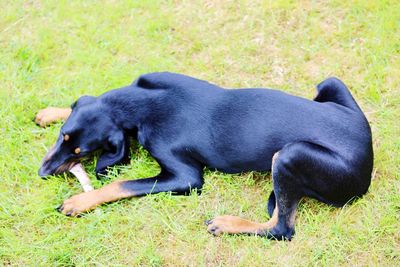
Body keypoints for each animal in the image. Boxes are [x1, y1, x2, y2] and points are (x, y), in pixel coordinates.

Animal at [36, 72, 374, 242]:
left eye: (81, 152)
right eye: (63, 136)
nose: (42, 172)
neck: (144, 103)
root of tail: (368, 157)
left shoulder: (186, 177)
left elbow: (121, 185)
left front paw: (79, 201)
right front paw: (49, 112)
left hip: (291, 155)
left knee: (282, 229)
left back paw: (227, 224)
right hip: (329, 83)